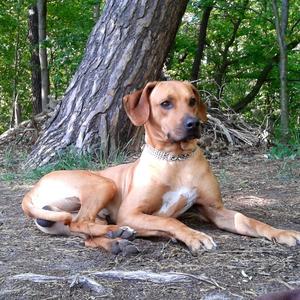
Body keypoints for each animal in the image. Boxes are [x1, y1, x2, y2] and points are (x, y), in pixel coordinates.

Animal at [21, 81, 300, 254]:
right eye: (166, 103)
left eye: (192, 100)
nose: (194, 123)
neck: (176, 160)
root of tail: (31, 190)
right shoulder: (131, 212)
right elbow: (171, 221)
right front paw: (194, 236)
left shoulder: (216, 210)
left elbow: (249, 220)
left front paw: (281, 232)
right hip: (103, 183)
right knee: (81, 222)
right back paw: (117, 232)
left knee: (82, 231)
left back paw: (117, 242)